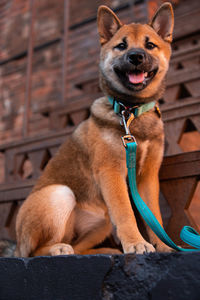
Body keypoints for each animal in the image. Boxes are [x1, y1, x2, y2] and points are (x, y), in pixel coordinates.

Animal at [16, 2, 173, 256]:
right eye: (122, 46)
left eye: (150, 45)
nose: (136, 56)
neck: (130, 111)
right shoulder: (111, 173)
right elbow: (126, 213)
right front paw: (136, 243)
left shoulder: (148, 177)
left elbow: (154, 216)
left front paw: (164, 245)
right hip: (59, 194)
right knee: (37, 251)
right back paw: (58, 249)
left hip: (102, 221)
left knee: (78, 246)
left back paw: (104, 250)